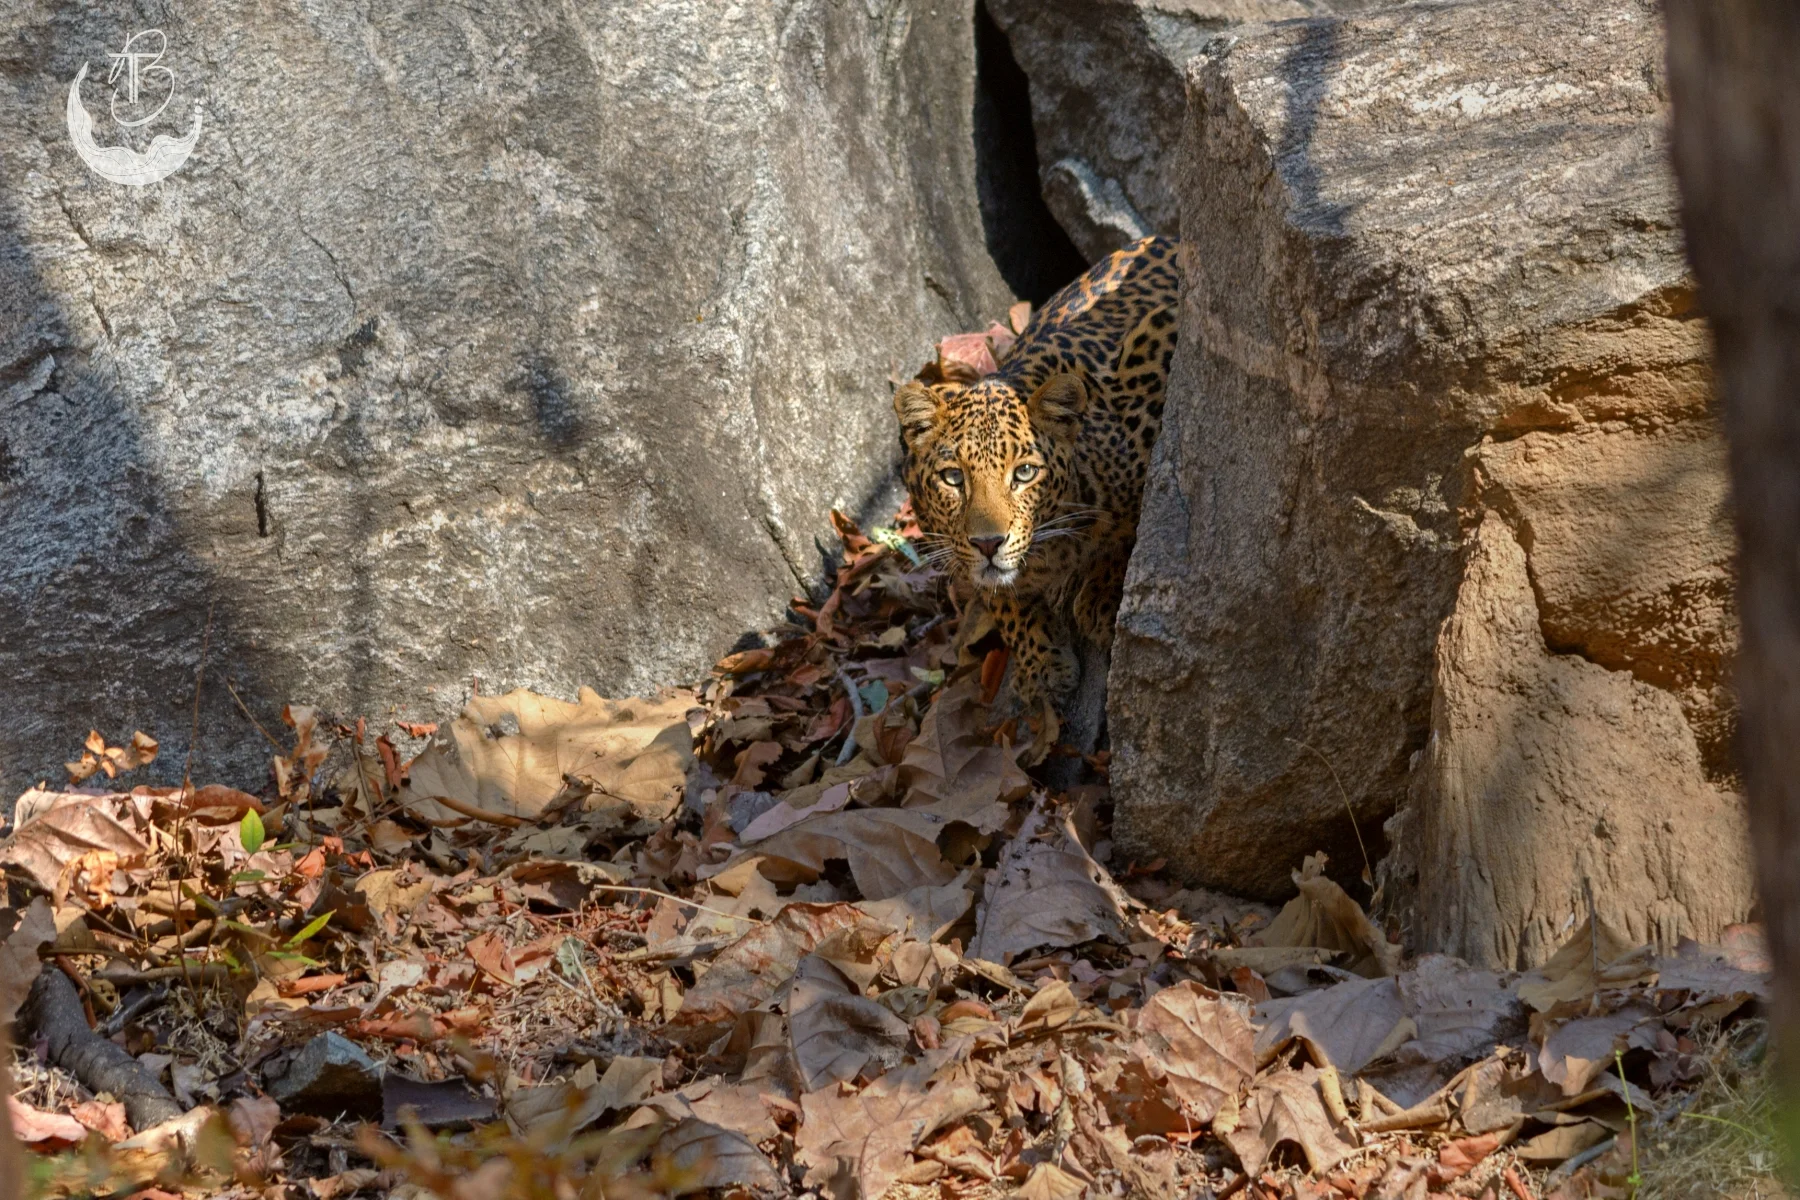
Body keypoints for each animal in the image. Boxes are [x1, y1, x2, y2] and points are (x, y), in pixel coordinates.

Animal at [893, 235, 1180, 760]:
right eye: (953, 478)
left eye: (1024, 473)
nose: (989, 543)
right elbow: (1001, 595)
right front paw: (1040, 664)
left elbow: (1137, 514)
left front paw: (1102, 593)